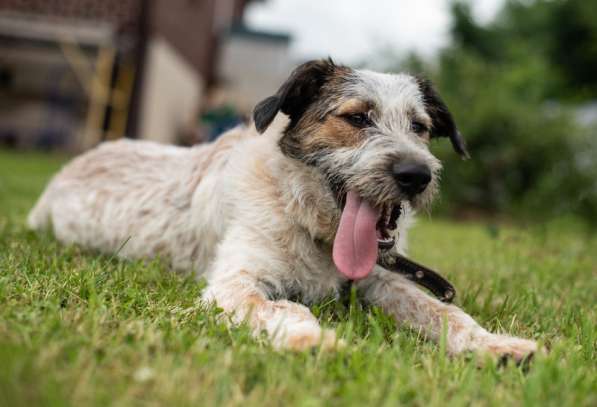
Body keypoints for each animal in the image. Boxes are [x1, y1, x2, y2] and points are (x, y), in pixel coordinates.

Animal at [28, 59, 536, 360]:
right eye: (357, 118)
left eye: (420, 126)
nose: (416, 175)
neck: (313, 228)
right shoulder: (235, 283)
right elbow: (286, 308)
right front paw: (313, 339)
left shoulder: (383, 280)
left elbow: (445, 312)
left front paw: (494, 344)